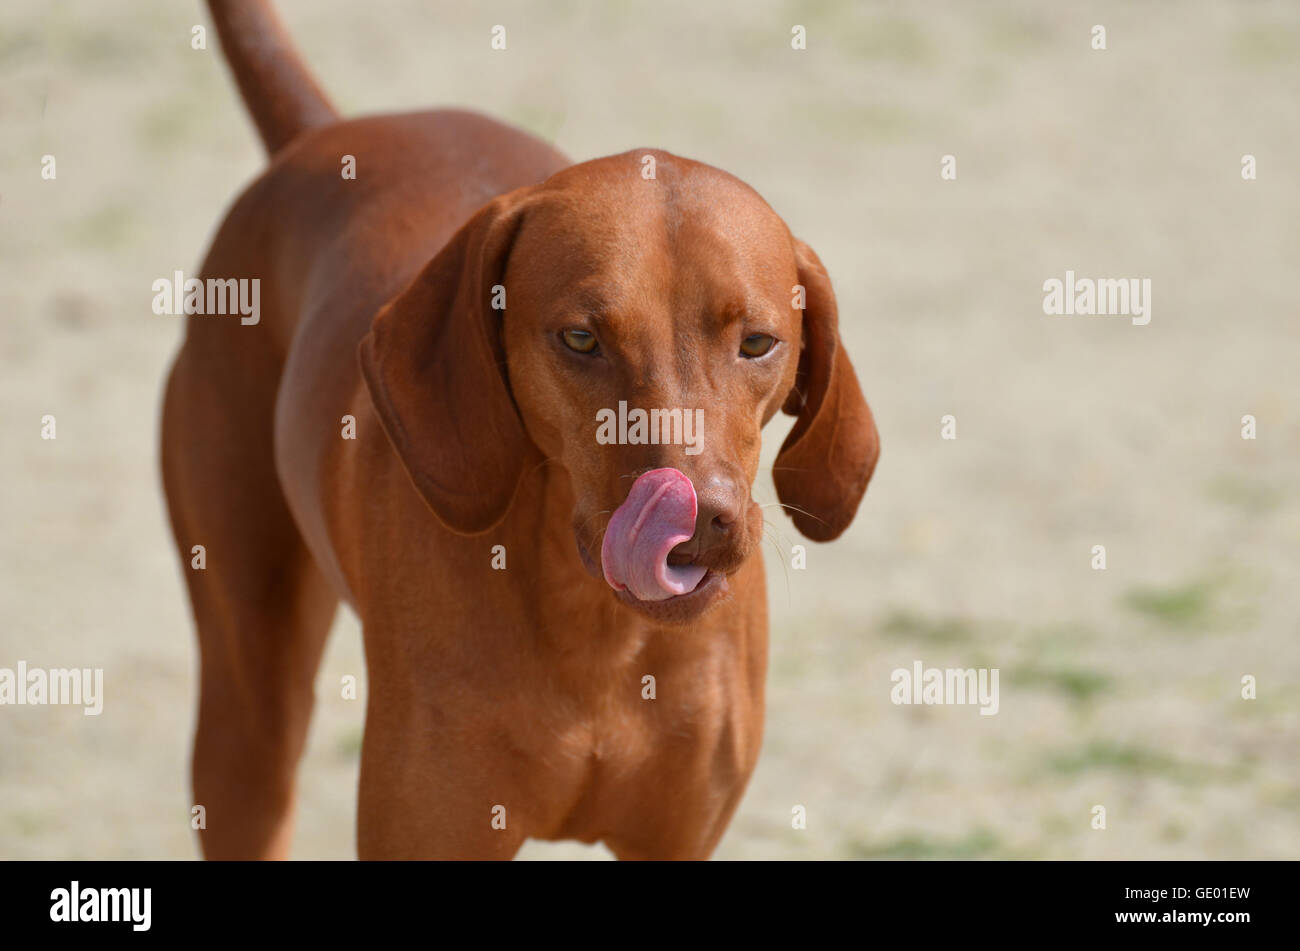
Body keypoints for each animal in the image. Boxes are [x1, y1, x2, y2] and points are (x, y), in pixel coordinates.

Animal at [157, 1, 878, 862]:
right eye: (580, 338)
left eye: (759, 342)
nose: (697, 519)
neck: (597, 630)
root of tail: (324, 132)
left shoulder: (676, 838)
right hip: (248, 723)